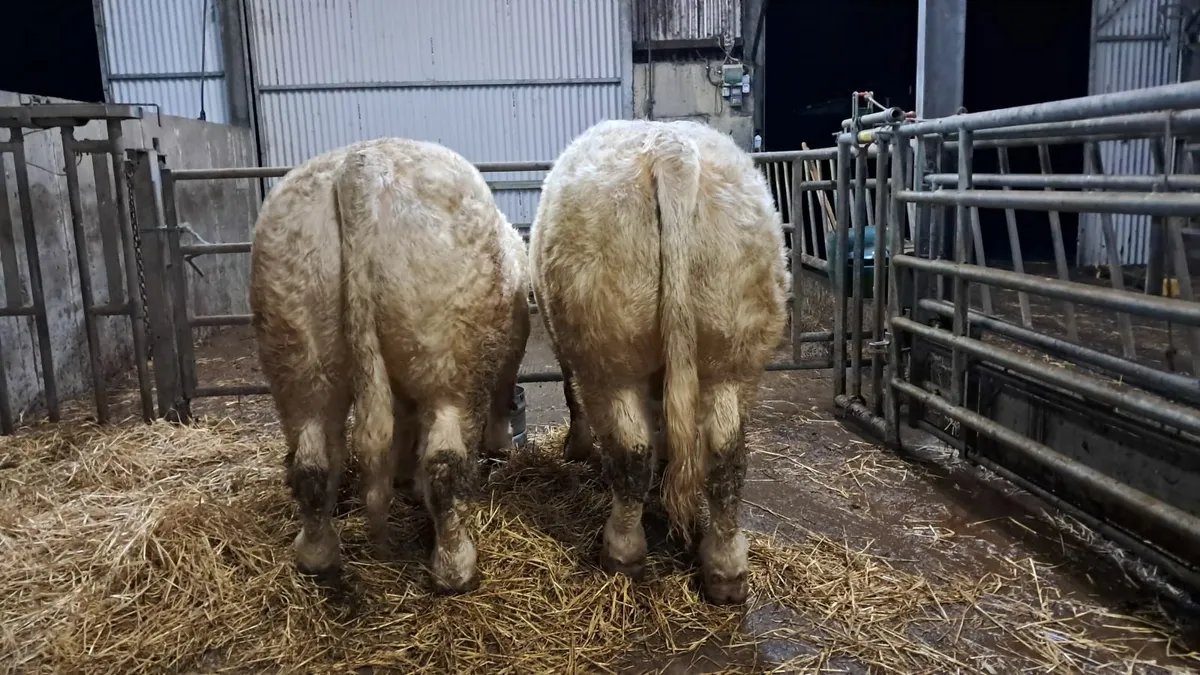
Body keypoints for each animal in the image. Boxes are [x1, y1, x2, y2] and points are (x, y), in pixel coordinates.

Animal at [250, 138, 530, 594]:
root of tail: (360, 165)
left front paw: (403, 478)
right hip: (449, 364)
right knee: (443, 464)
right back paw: (456, 567)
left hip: (296, 347)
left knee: (312, 463)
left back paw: (317, 557)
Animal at [528, 120, 789, 604]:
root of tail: (670, 149)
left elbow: (571, 394)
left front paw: (576, 447)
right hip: (733, 353)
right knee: (726, 454)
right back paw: (726, 567)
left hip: (610, 356)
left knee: (631, 452)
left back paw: (621, 553)